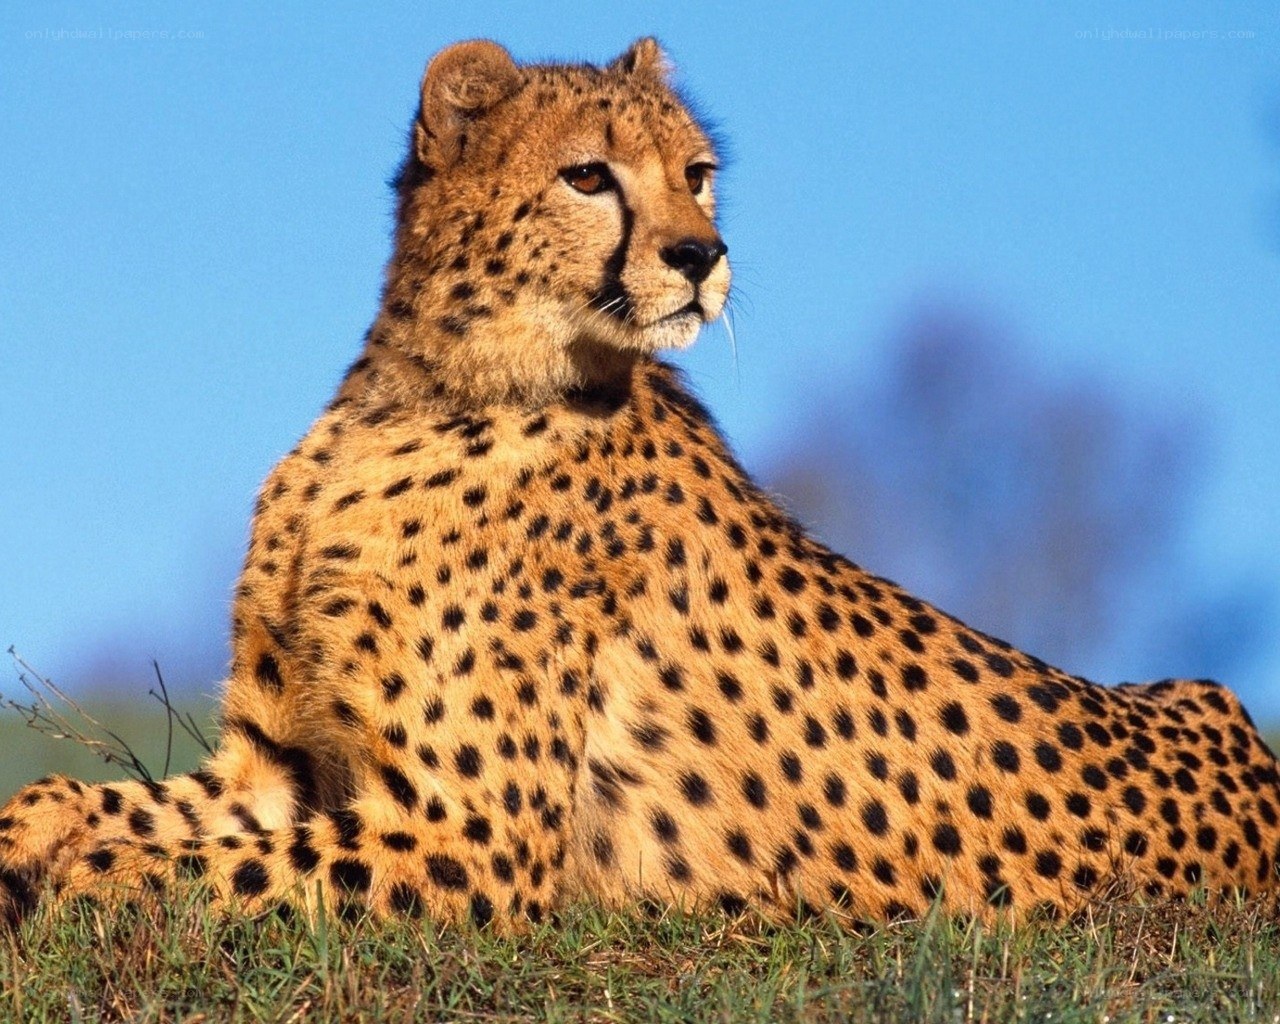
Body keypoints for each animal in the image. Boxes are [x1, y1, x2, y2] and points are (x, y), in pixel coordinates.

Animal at [3, 37, 1278, 933]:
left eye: (696, 177)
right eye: (587, 176)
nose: (699, 257)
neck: (423, 390)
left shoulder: (472, 841)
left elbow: (163, 861)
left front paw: (72, 880)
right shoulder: (279, 770)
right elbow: (89, 800)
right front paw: (34, 836)